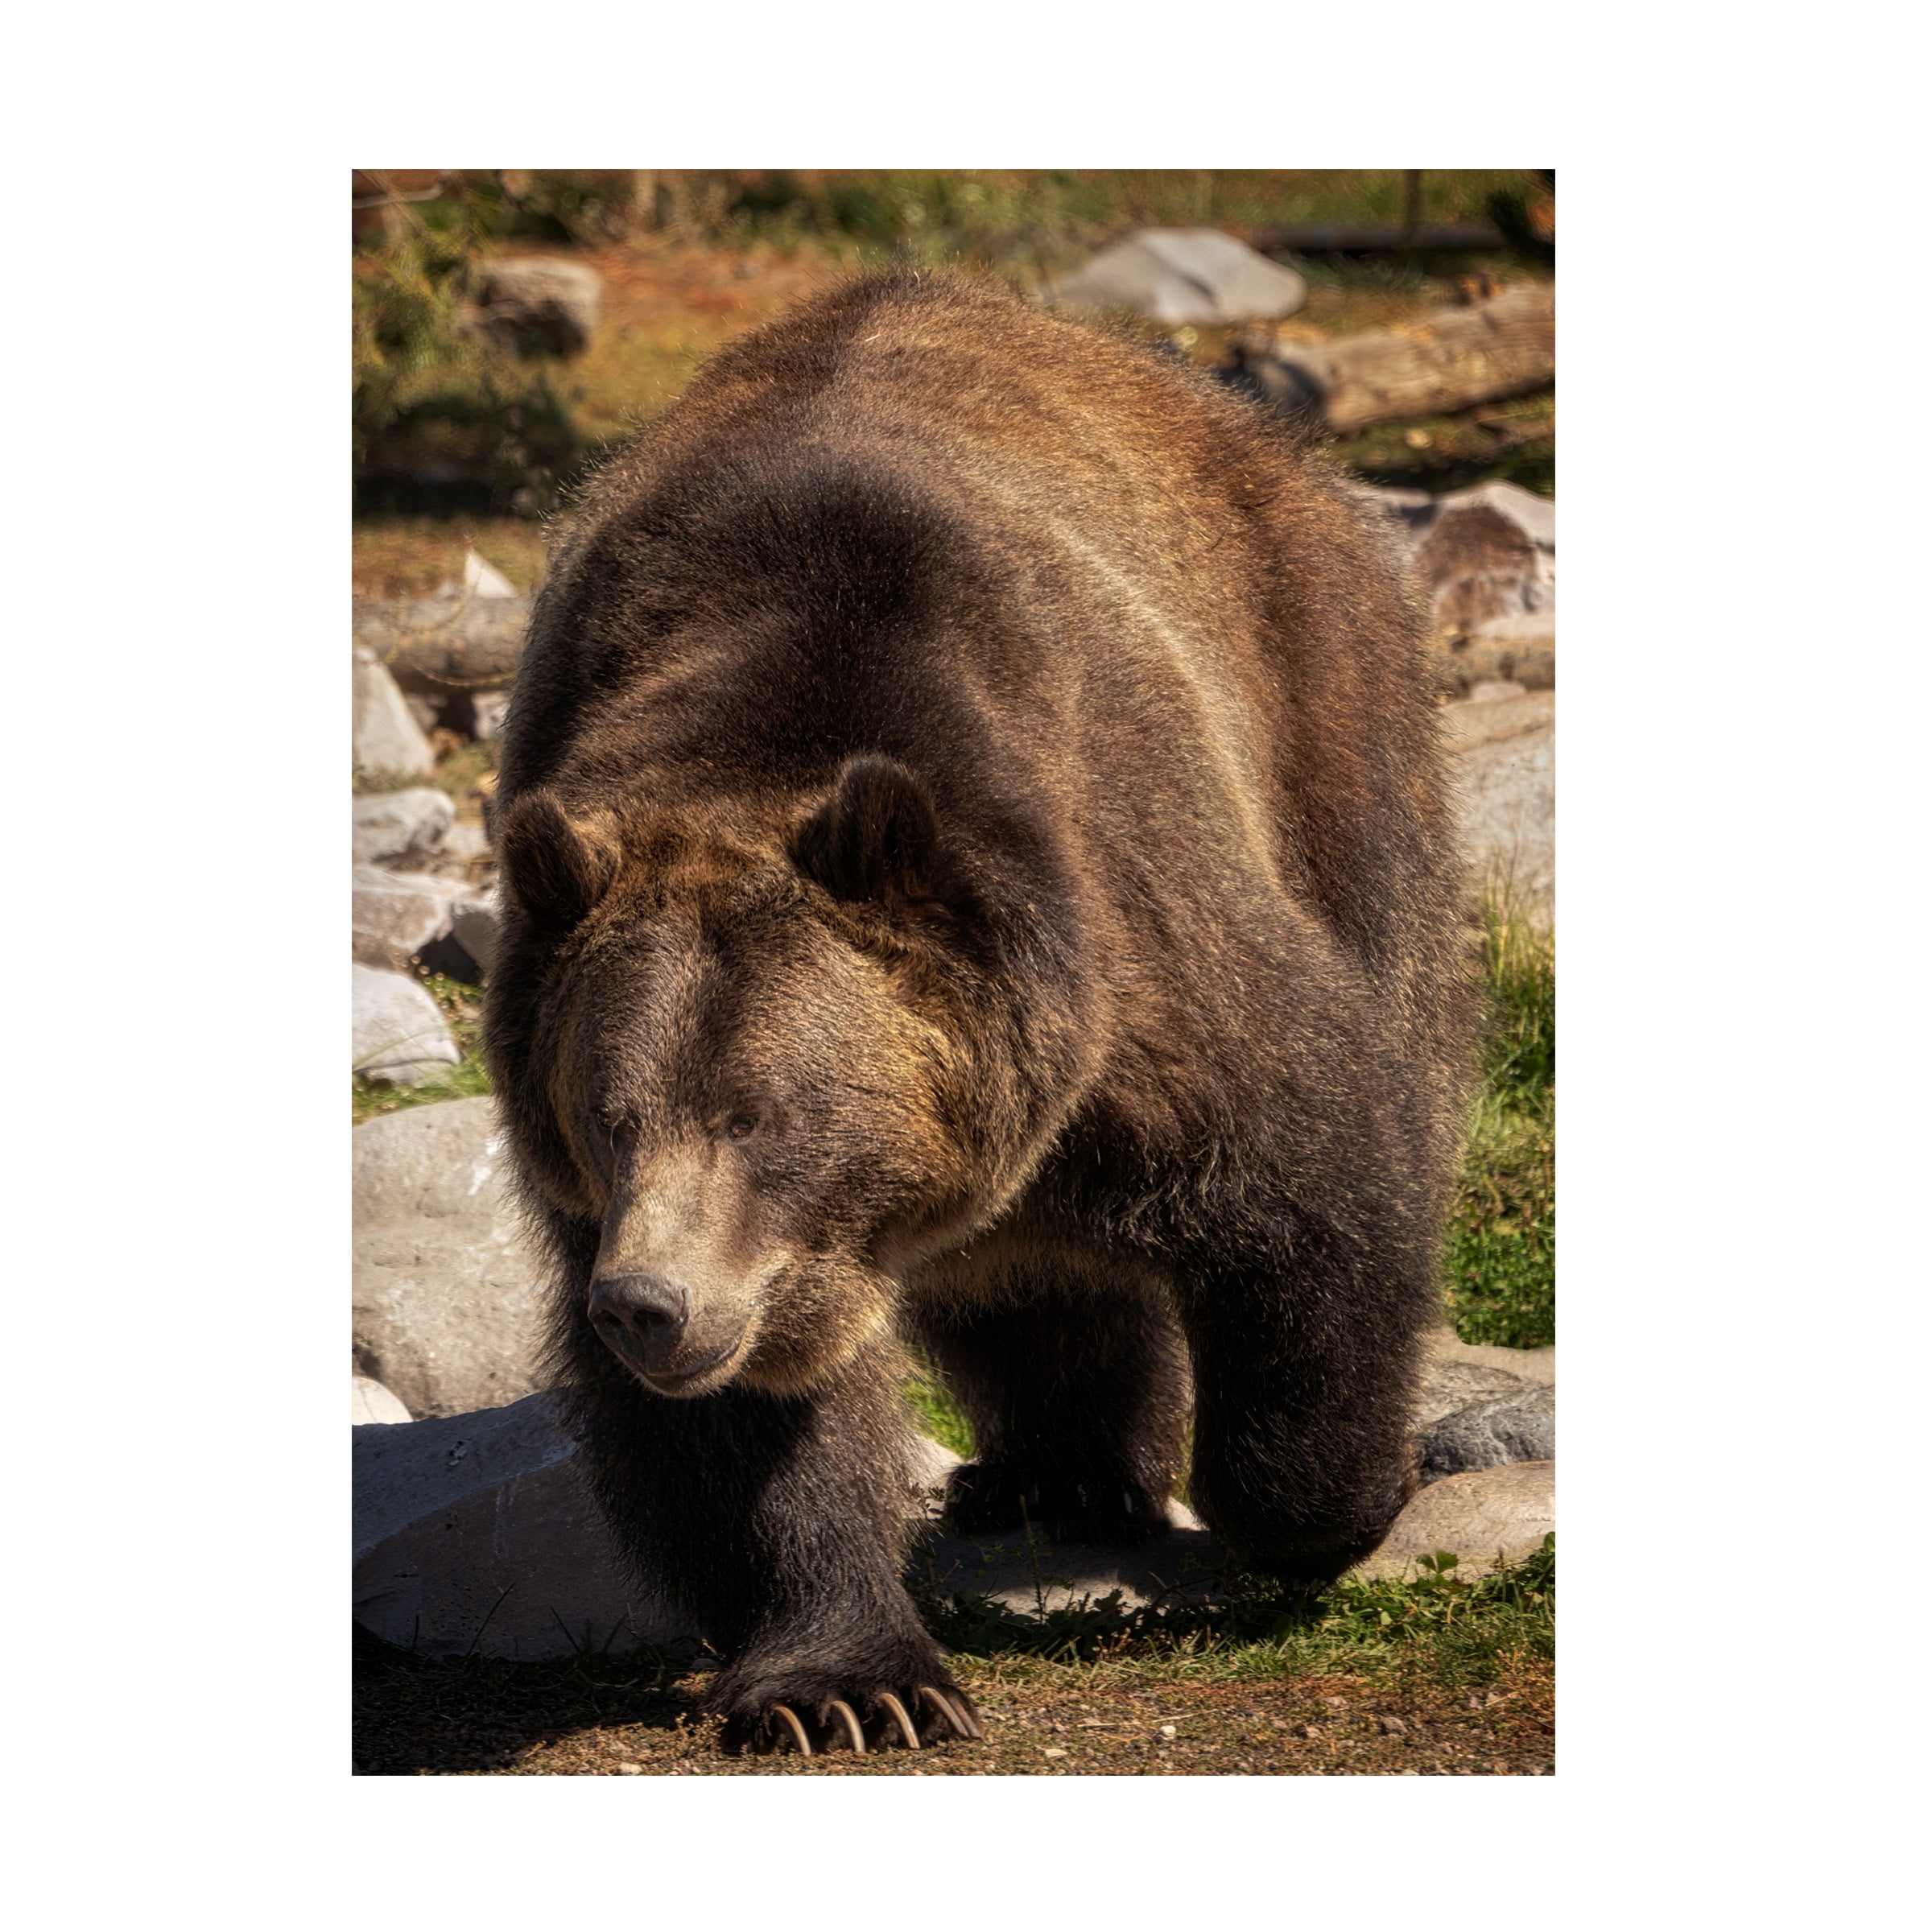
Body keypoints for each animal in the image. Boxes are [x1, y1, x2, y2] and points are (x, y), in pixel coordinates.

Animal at [483, 269, 1474, 1756]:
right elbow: (751, 1436)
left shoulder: (1130, 925)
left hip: (1319, 689)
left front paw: (1330, 1500)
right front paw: (849, 1684)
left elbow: (1312, 1172)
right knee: (1028, 1279)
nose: (645, 1308)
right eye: (608, 1116)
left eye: (762, 1115)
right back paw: (1055, 1469)